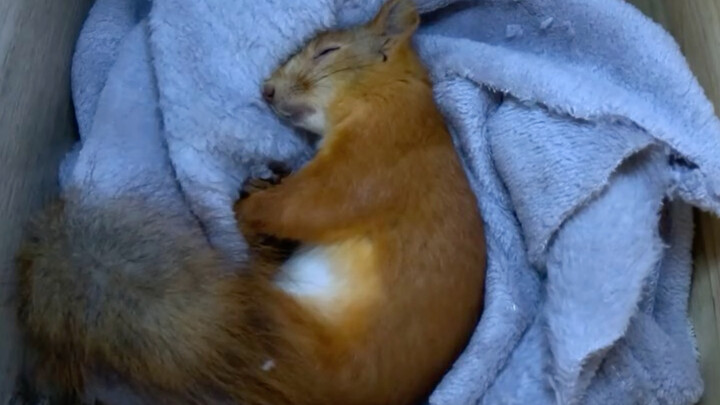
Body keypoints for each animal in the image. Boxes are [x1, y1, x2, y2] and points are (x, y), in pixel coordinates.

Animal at [15, 0, 486, 404]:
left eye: (327, 51)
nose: (267, 90)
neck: (392, 96)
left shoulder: (375, 158)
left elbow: (314, 203)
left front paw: (247, 209)